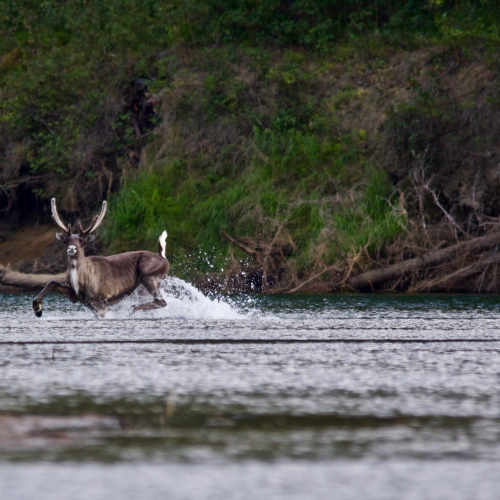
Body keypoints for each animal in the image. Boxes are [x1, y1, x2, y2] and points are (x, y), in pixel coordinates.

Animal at [33, 198, 171, 318]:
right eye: (66, 240)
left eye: (82, 241)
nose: (72, 248)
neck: (81, 281)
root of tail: (162, 255)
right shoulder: (76, 297)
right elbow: (52, 282)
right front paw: (38, 310)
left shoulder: (101, 300)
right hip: (144, 287)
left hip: (148, 275)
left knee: (161, 301)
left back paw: (130, 312)